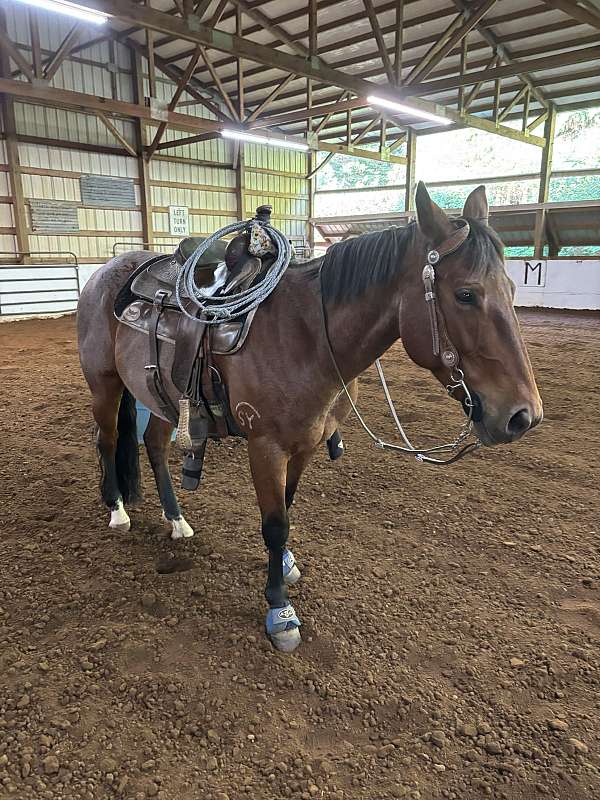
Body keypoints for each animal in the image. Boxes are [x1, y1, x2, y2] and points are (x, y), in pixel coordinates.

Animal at [77, 182, 543, 652]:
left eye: (512, 288)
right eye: (466, 294)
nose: (524, 415)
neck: (306, 336)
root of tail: (107, 271)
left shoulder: (307, 443)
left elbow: (287, 507)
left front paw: (285, 565)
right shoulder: (266, 448)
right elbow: (274, 524)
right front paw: (280, 610)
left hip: (160, 396)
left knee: (154, 445)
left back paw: (176, 521)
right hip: (104, 385)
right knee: (107, 440)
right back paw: (117, 511)